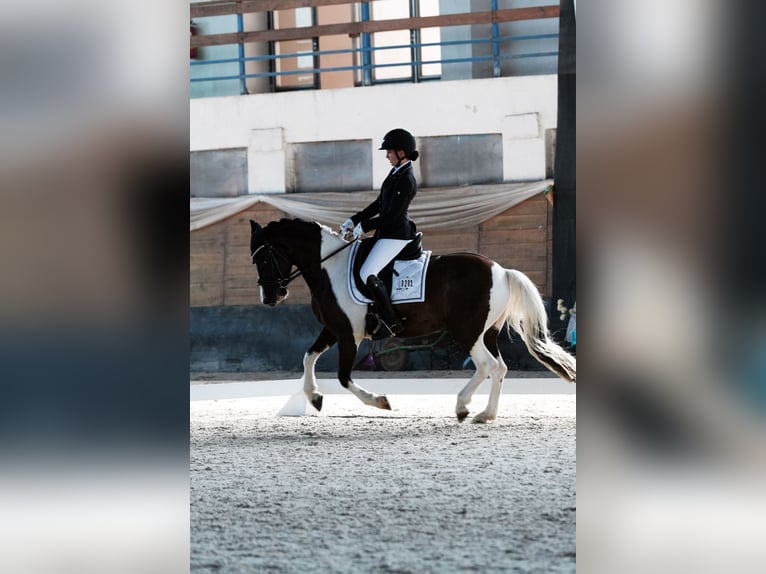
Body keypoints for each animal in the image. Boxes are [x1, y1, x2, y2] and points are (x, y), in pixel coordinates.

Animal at [250, 218, 576, 423]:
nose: (270, 297)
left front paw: (380, 401)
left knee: (487, 366)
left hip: (467, 332)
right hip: (487, 333)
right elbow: (308, 357)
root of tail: (502, 271)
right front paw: (314, 397)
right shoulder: (333, 329)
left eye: (262, 258)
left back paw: (462, 407)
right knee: (500, 368)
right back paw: (486, 414)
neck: (328, 268)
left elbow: (343, 377)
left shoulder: (348, 335)